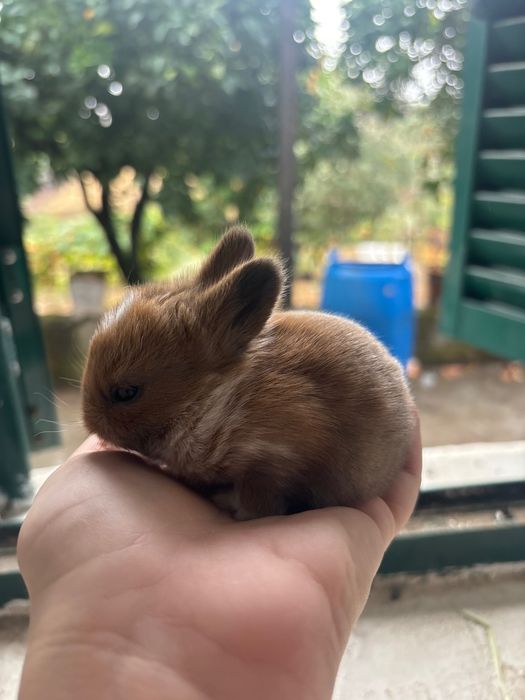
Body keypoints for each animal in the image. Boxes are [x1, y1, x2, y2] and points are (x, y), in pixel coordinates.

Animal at [81, 225, 415, 520]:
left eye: (126, 393)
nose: (90, 423)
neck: (214, 399)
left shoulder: (270, 462)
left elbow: (259, 503)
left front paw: (230, 505)